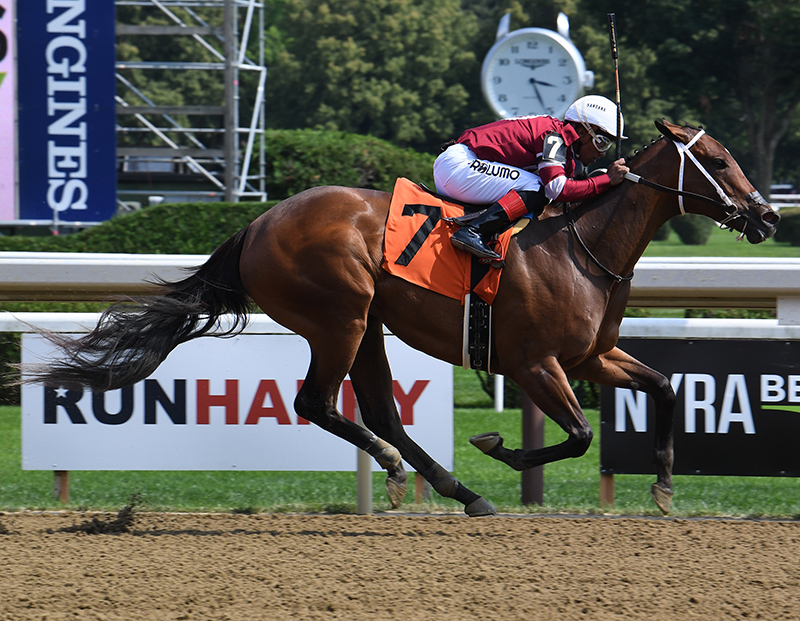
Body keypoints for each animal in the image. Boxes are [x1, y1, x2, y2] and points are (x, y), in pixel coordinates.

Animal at [28, 120, 780, 512]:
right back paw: (407, 470)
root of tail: (259, 223)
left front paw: (663, 484)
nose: (769, 216)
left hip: (366, 325)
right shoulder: (536, 363)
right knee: (319, 403)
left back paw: (457, 489)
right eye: (717, 160)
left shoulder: (591, 356)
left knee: (379, 411)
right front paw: (500, 447)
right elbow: (577, 435)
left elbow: (665, 386)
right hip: (340, 317)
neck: (581, 244)